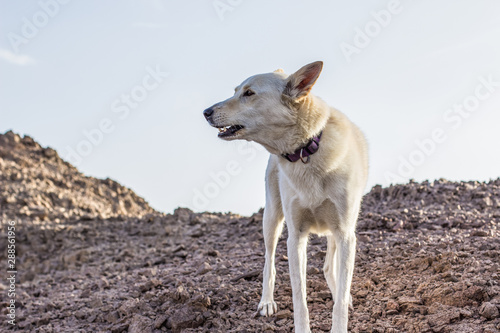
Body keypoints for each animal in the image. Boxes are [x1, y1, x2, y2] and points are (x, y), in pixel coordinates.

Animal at [202, 61, 368, 330]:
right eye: (236, 91)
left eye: (249, 93)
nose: (206, 112)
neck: (306, 151)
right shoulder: (295, 236)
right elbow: (299, 296)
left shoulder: (345, 233)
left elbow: (341, 299)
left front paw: (340, 318)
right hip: (272, 217)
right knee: (269, 261)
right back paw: (266, 302)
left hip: (340, 228)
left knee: (328, 267)